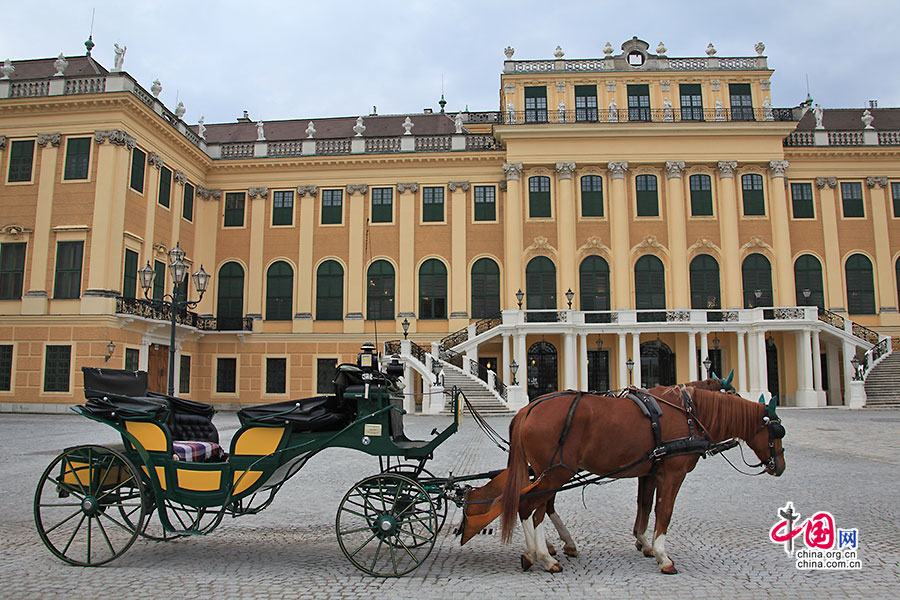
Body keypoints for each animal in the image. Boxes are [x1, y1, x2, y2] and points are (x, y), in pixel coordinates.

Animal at [496, 386, 784, 576]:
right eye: (777, 431)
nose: (779, 467)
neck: (689, 415)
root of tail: (528, 408)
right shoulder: (673, 472)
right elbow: (664, 511)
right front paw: (663, 556)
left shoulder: (650, 471)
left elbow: (644, 505)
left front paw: (644, 543)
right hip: (556, 472)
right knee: (530, 506)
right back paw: (543, 556)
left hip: (548, 471)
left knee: (537, 506)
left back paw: (544, 551)